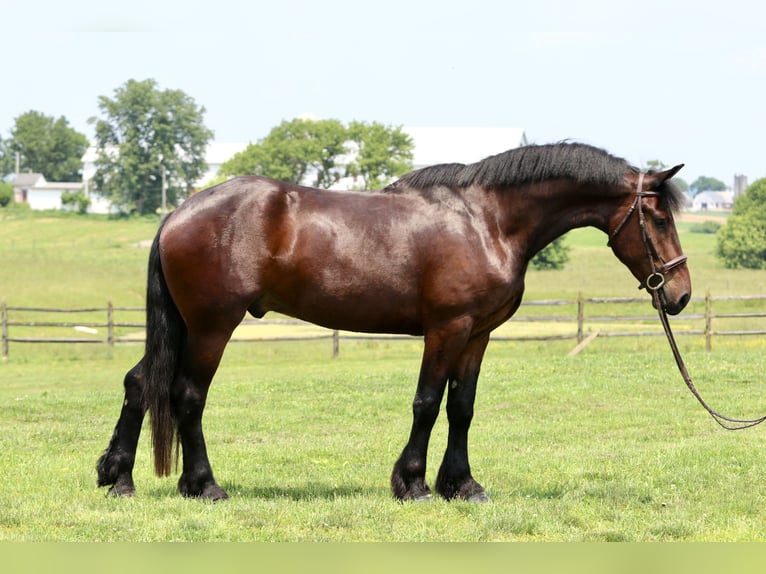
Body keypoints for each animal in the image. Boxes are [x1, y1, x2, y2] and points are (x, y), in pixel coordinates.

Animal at [97, 142, 691, 502]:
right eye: (658, 218)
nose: (680, 294)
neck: (488, 221)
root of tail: (178, 213)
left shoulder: (477, 334)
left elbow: (461, 407)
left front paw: (462, 485)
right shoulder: (447, 329)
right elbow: (427, 403)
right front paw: (413, 484)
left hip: (184, 325)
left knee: (139, 383)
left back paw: (117, 477)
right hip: (212, 326)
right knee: (187, 394)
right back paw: (204, 486)